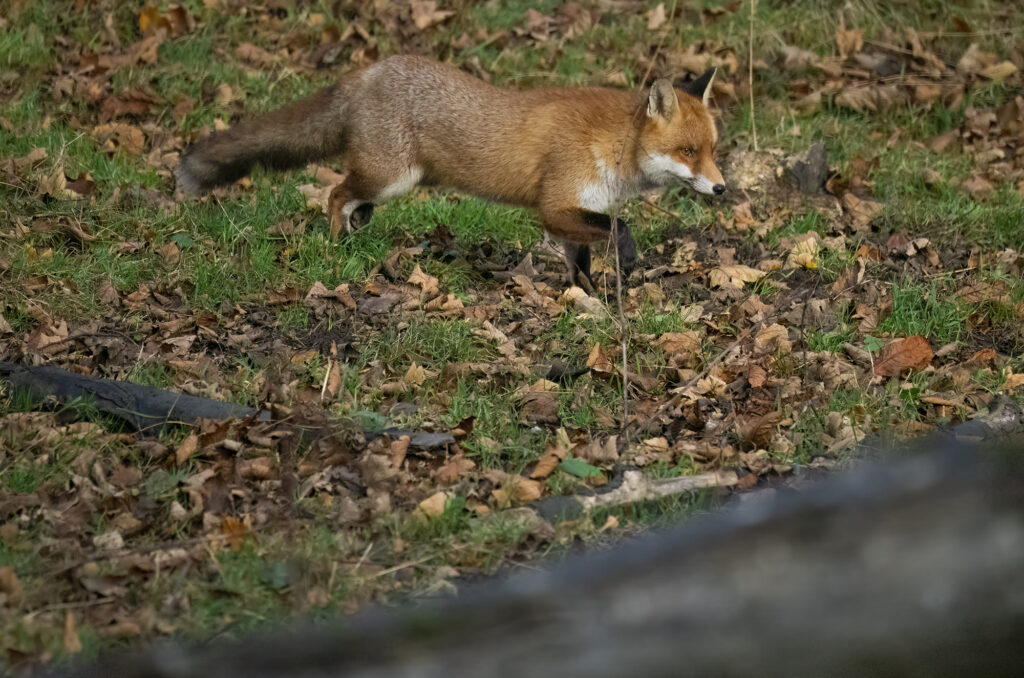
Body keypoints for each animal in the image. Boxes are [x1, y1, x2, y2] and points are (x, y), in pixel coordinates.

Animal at [176, 53, 724, 286]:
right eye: (688, 151)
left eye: (713, 150)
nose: (722, 189)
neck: (611, 145)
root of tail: (365, 72)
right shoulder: (555, 207)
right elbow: (621, 227)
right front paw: (627, 261)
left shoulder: (577, 211)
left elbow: (581, 266)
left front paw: (587, 301)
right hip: (391, 176)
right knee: (335, 194)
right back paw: (336, 246)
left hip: (389, 182)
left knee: (353, 199)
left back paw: (355, 233)